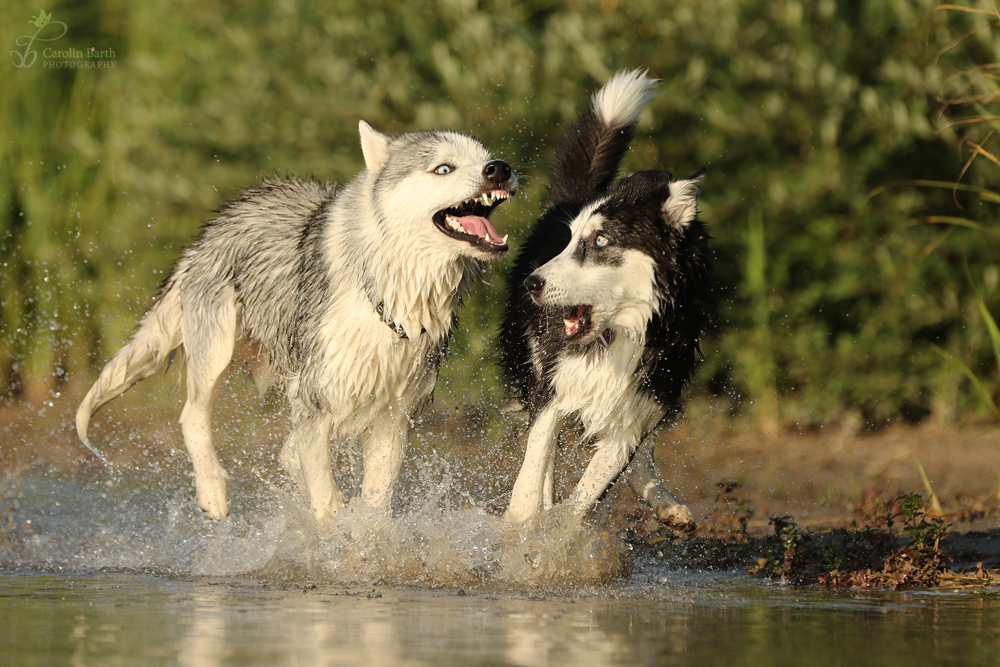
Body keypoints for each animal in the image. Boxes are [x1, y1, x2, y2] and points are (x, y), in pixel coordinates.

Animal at [504, 72, 708, 532]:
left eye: (600, 241)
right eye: (570, 239)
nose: (532, 283)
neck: (622, 331)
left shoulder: (642, 399)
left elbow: (589, 493)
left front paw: (558, 533)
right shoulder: (554, 383)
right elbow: (534, 468)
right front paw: (522, 525)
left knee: (640, 453)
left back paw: (665, 502)